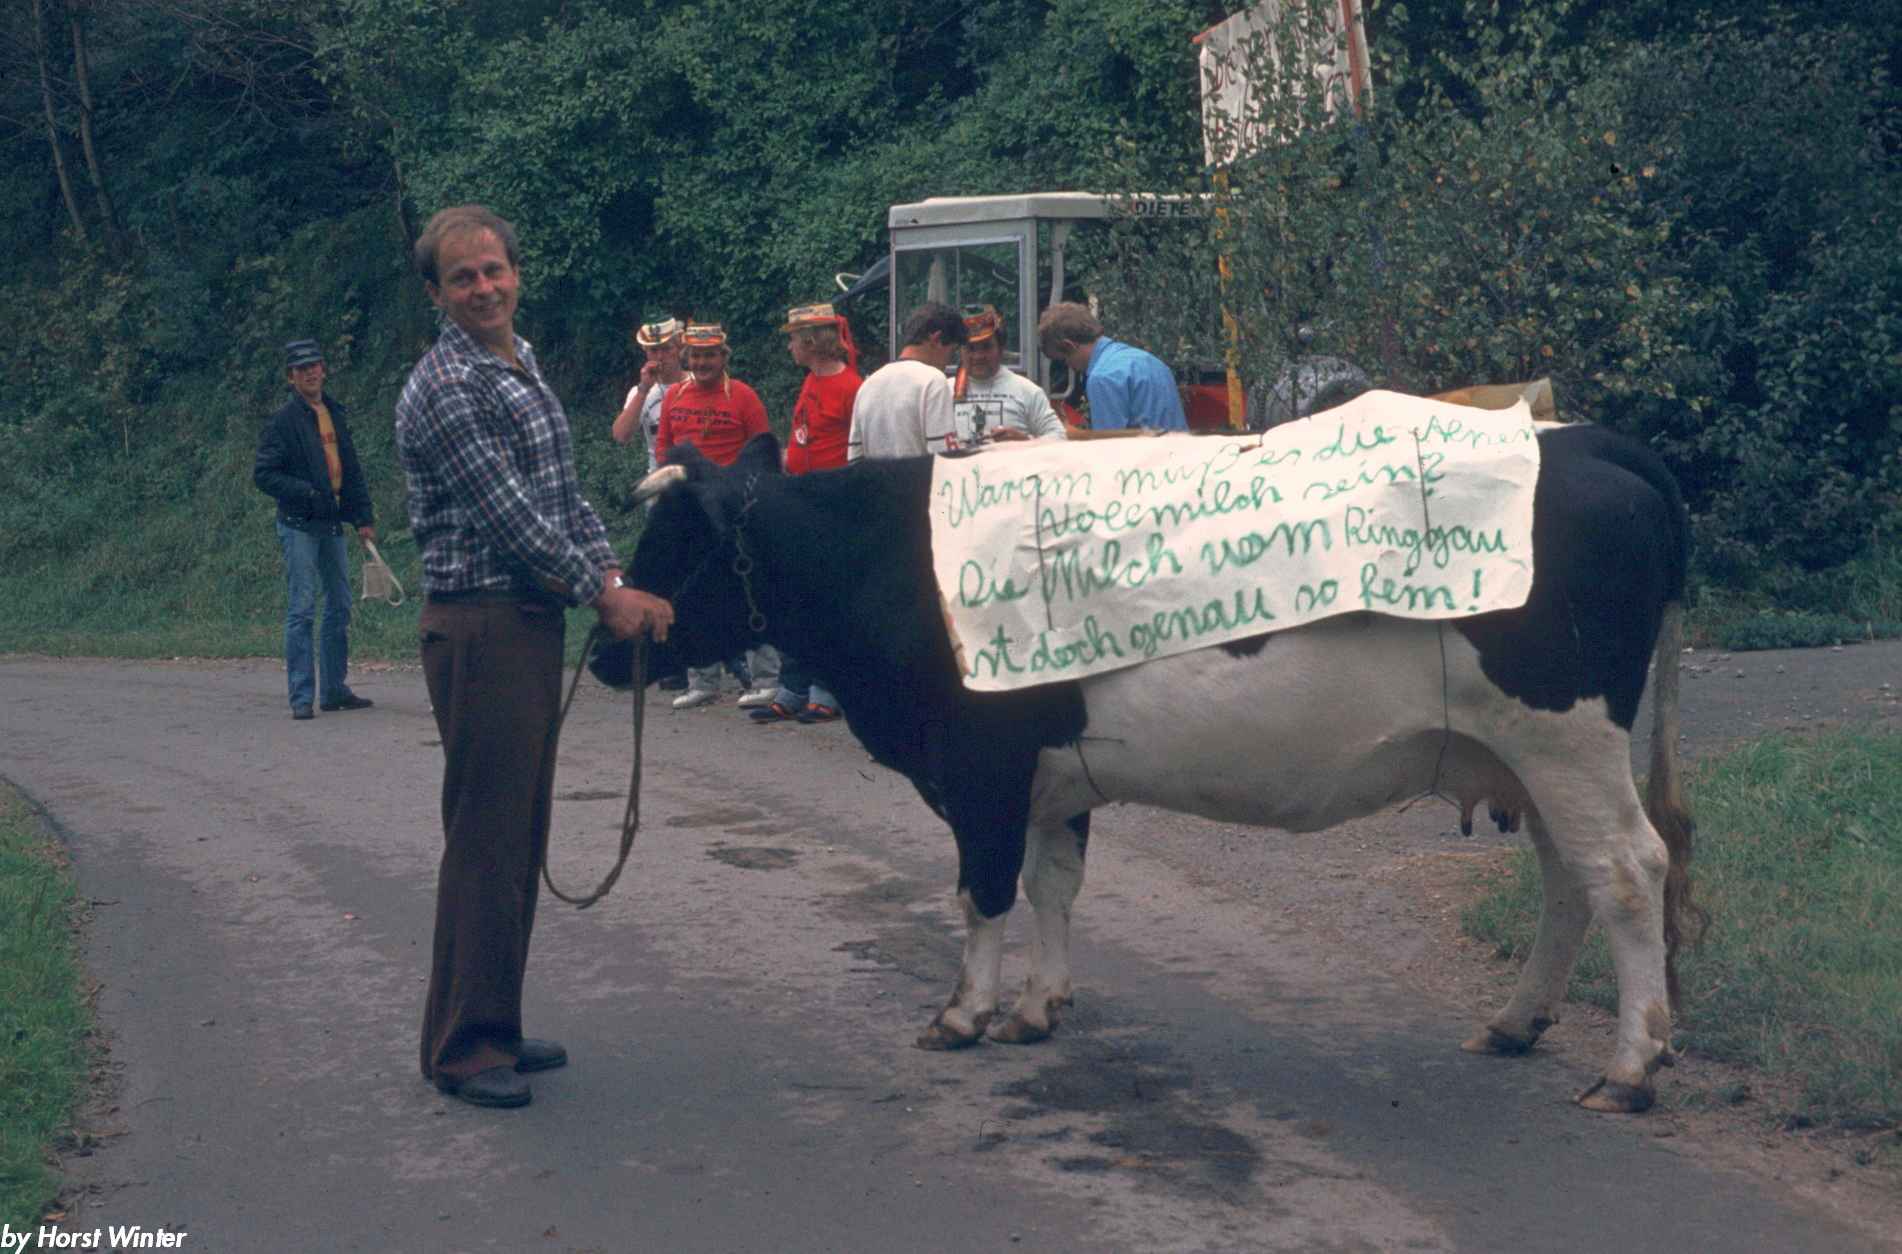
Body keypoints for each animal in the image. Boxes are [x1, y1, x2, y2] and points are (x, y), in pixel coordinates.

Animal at [594, 425, 1701, 1113]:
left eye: (672, 541)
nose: (605, 649)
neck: (894, 561)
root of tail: (1583, 439)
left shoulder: (980, 763)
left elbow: (981, 891)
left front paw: (962, 1014)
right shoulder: (1051, 772)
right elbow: (1052, 883)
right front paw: (1036, 1008)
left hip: (1564, 737)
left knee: (1627, 873)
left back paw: (1631, 1065)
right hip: (1531, 756)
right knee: (1570, 878)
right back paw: (1516, 1024)